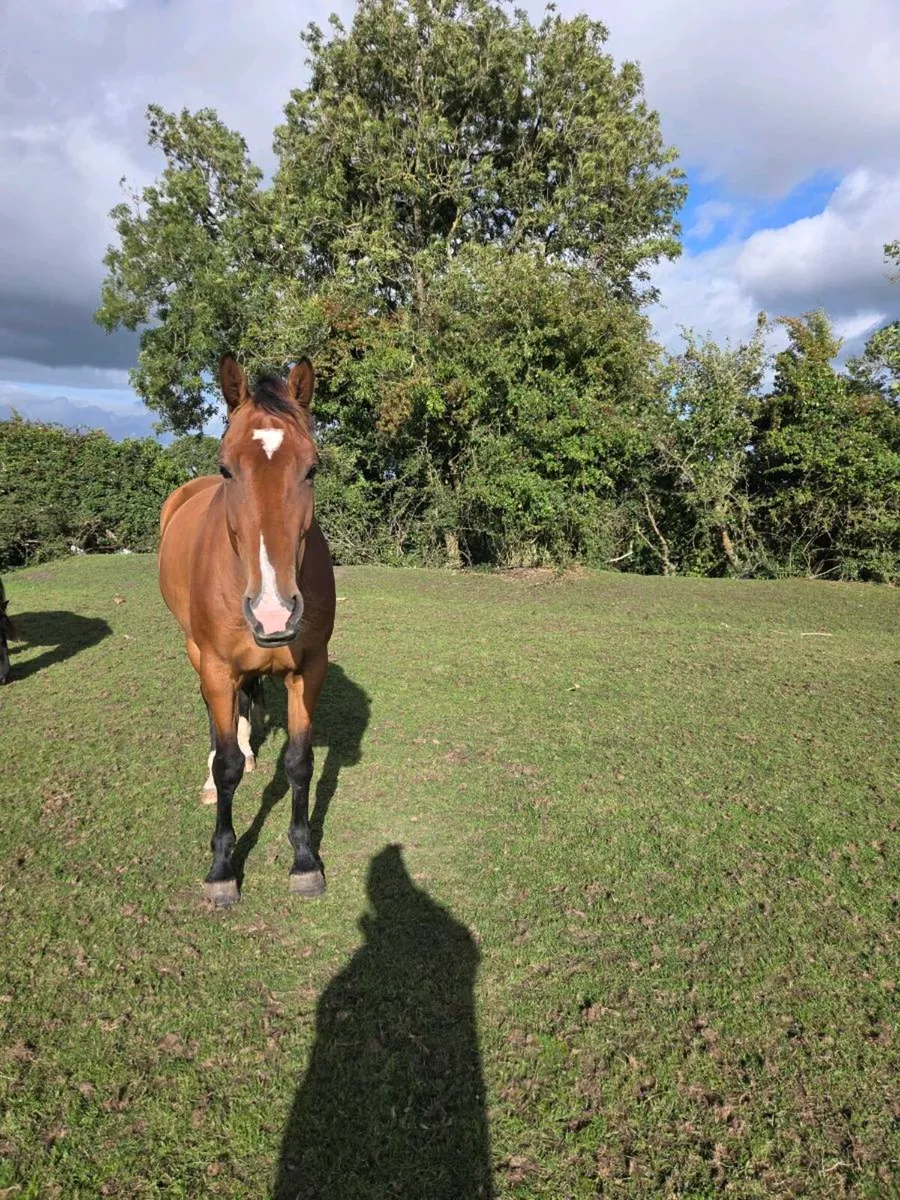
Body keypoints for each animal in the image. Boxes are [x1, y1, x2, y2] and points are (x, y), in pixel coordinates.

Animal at [158, 354, 336, 906]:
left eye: (312, 468)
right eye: (226, 468)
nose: (274, 613)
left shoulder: (309, 671)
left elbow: (299, 762)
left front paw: (304, 859)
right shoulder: (217, 667)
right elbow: (227, 767)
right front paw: (221, 869)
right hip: (196, 653)